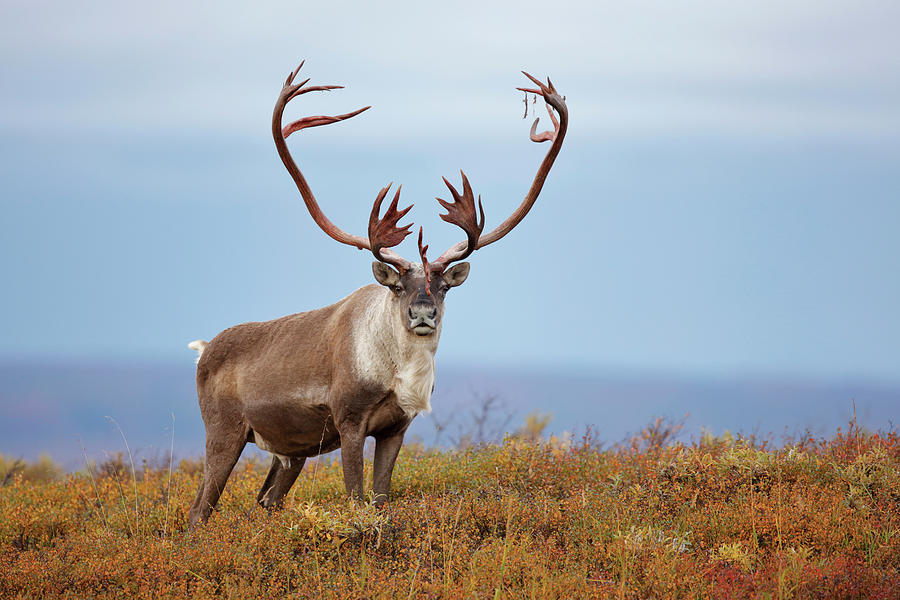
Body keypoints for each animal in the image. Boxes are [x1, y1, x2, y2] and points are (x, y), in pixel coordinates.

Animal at [188, 62, 568, 524]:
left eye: (443, 287)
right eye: (399, 286)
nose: (423, 313)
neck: (396, 373)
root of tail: (204, 349)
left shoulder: (396, 428)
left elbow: (382, 497)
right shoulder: (349, 421)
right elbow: (355, 496)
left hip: (291, 451)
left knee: (266, 500)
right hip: (224, 432)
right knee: (198, 511)